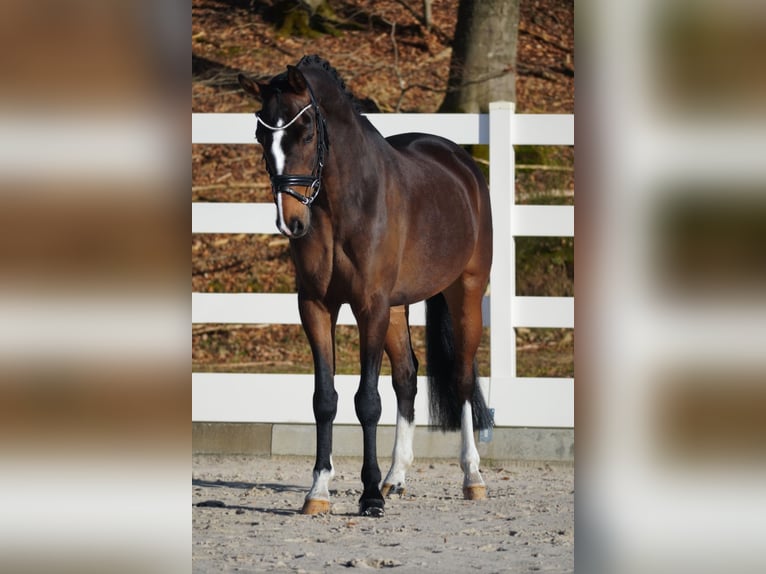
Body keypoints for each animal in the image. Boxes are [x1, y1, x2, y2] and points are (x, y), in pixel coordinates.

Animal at [237, 56, 496, 520]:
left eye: (306, 132)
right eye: (261, 135)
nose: (291, 222)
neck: (343, 205)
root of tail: (461, 162)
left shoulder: (368, 306)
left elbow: (368, 401)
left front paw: (369, 494)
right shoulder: (317, 306)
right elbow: (325, 399)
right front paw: (319, 489)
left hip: (464, 291)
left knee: (463, 379)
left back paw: (472, 477)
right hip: (396, 308)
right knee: (408, 379)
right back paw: (396, 477)